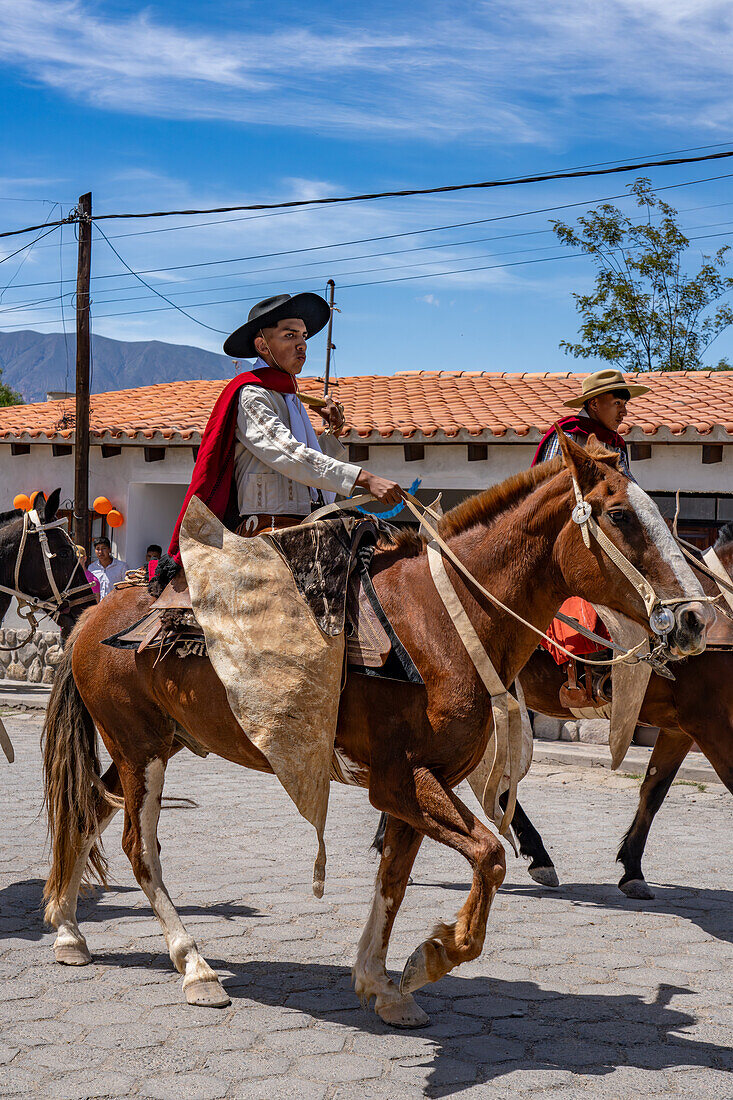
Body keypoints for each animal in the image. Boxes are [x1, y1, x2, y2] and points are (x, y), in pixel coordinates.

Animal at [41, 435, 708, 1029]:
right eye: (620, 514)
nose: (695, 619)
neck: (441, 619)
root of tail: (93, 615)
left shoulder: (422, 784)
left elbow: (395, 879)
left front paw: (380, 984)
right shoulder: (398, 780)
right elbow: (489, 857)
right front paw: (431, 957)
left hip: (155, 744)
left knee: (87, 810)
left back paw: (69, 930)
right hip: (141, 748)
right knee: (138, 847)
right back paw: (195, 968)